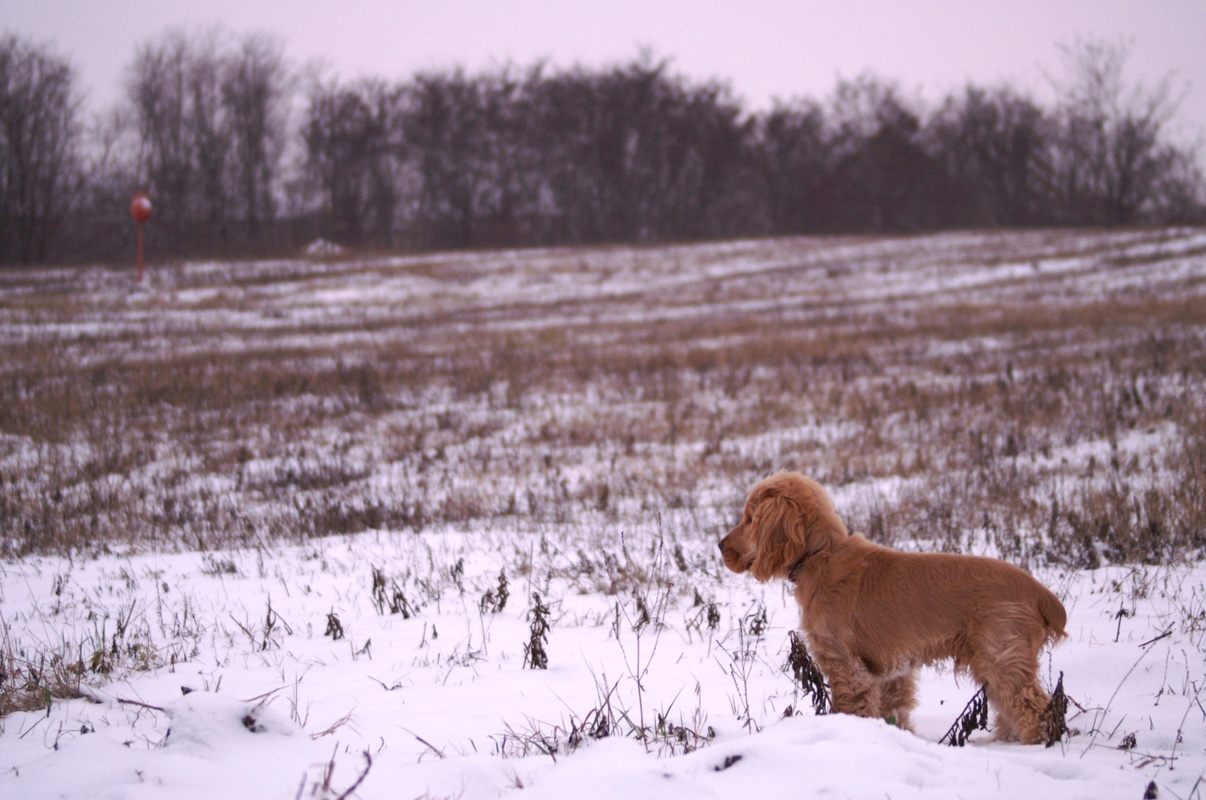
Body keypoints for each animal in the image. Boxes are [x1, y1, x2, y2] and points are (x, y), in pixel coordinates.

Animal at [713, 470, 1066, 743]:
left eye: (750, 519)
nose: (719, 545)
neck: (820, 556)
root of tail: (1039, 591)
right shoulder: (889, 671)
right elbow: (894, 710)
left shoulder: (845, 663)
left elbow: (852, 707)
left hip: (999, 656)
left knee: (1034, 708)